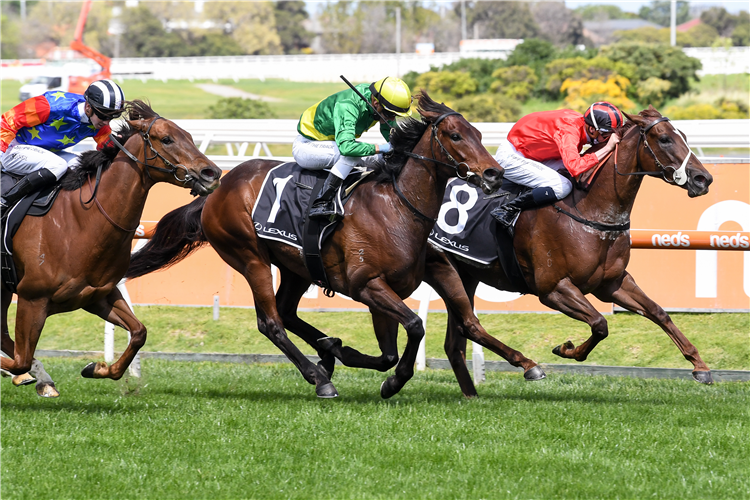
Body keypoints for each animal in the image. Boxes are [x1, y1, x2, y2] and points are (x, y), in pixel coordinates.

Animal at [1, 100, 222, 398]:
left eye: (188, 135)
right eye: (166, 139)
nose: (212, 174)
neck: (82, 222)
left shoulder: (98, 296)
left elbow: (139, 333)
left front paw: (96, 368)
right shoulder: (32, 298)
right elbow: (20, 359)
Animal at [128, 93, 506, 398]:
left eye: (478, 134)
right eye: (456, 135)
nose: (494, 173)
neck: (396, 207)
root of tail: (217, 189)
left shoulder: (399, 284)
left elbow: (394, 350)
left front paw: (344, 352)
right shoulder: (367, 285)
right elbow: (414, 326)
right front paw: (392, 382)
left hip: (297, 266)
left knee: (286, 311)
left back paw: (326, 352)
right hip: (250, 256)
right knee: (271, 322)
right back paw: (320, 378)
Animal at [424, 107, 716, 396]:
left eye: (684, 136)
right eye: (664, 139)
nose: (704, 179)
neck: (589, 209)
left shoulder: (612, 283)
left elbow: (658, 312)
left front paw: (700, 366)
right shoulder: (554, 289)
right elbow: (600, 324)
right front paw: (566, 349)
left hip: (466, 275)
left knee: (456, 341)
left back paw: (471, 393)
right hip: (445, 269)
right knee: (469, 325)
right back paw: (529, 366)